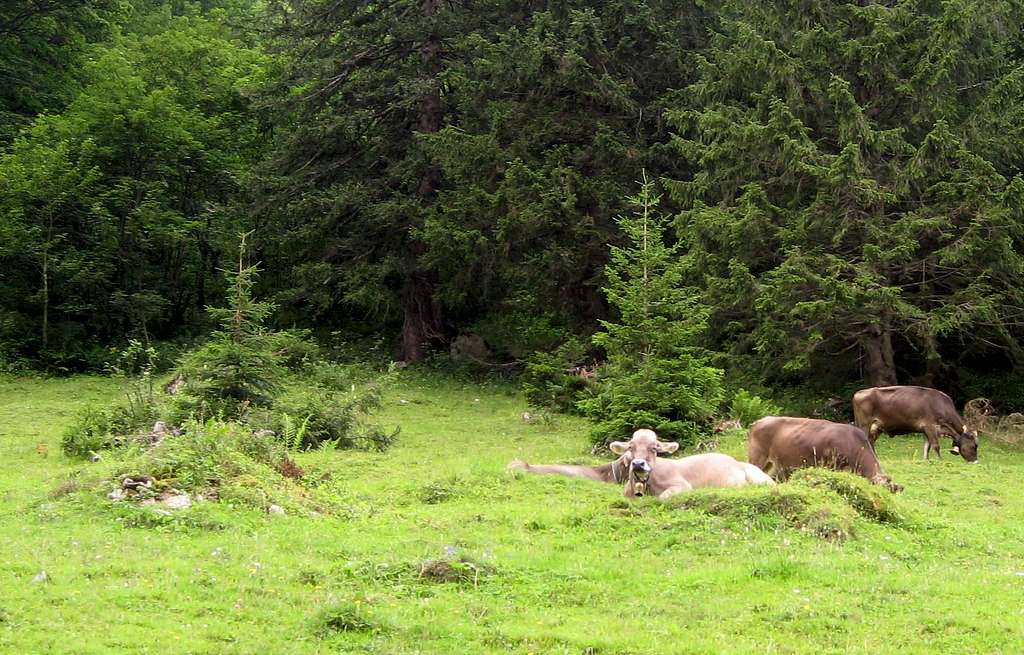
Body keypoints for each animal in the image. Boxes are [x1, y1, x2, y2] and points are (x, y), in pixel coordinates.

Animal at [507, 427, 770, 499]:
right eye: (631, 448)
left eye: (655, 448)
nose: (639, 464)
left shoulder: (682, 485)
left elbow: (665, 497)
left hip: (760, 477)